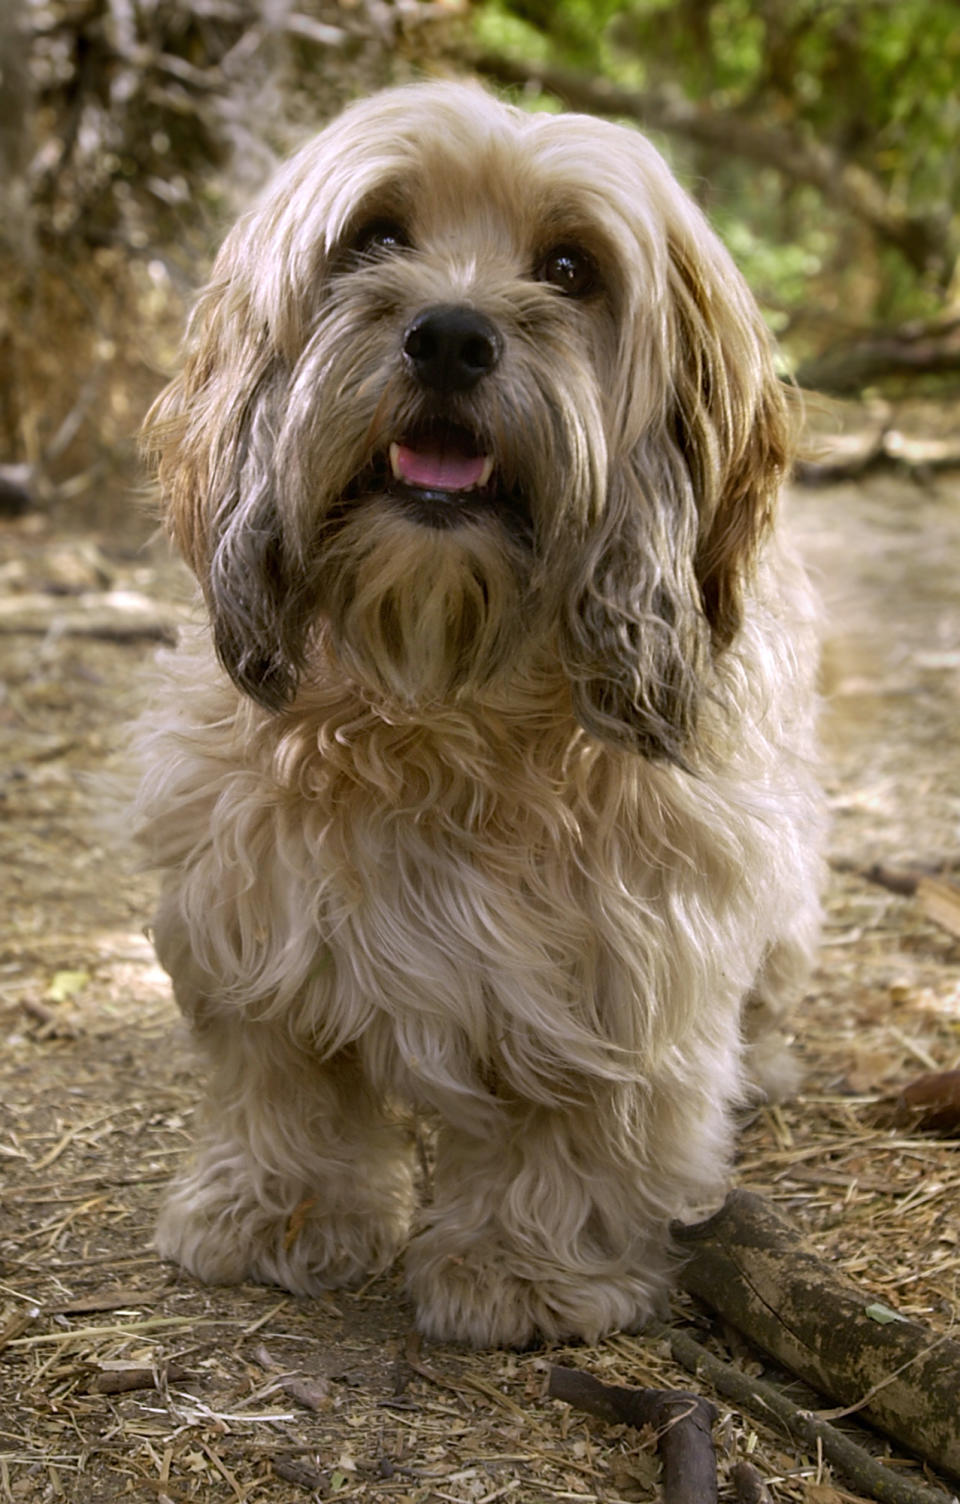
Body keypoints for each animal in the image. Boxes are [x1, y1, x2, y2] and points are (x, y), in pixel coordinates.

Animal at [133, 82, 830, 1353]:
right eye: (375, 237)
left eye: (571, 267)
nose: (451, 337)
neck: (440, 700)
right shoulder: (250, 897)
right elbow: (285, 1072)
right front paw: (279, 1210)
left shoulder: (631, 945)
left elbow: (578, 1113)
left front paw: (526, 1266)